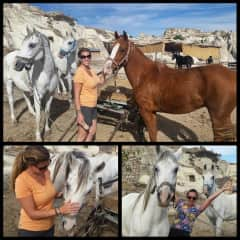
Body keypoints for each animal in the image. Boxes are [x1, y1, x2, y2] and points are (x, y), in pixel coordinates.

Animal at [103, 31, 236, 142]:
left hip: (219, 117)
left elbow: (152, 135)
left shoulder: (146, 111)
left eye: (122, 49)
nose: (106, 70)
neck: (145, 75)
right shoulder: (150, 112)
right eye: (111, 48)